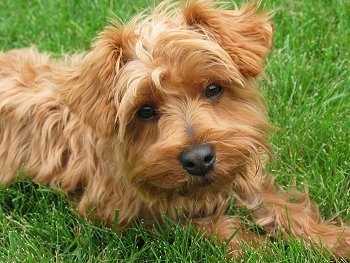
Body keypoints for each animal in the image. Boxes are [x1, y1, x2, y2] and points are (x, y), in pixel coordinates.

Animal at [0, 0, 350, 260]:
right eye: (145, 110)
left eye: (213, 88)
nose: (199, 158)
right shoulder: (132, 214)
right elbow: (210, 227)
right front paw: (261, 248)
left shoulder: (243, 173)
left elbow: (288, 209)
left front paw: (335, 240)